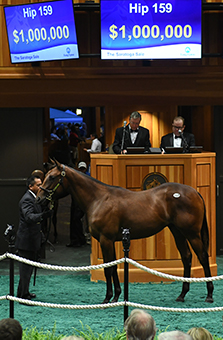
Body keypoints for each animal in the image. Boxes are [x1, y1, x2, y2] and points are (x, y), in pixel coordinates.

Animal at [36, 159, 214, 302]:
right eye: (46, 176)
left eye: (52, 177)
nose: (38, 199)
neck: (99, 199)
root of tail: (195, 192)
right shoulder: (109, 241)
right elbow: (113, 266)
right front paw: (116, 296)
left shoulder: (106, 240)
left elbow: (108, 269)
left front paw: (108, 298)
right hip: (178, 232)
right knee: (187, 257)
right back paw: (182, 295)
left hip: (192, 234)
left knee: (203, 257)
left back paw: (209, 295)